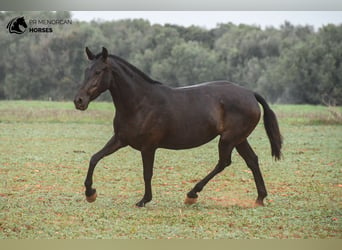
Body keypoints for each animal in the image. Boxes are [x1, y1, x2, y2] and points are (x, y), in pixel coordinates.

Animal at [73, 46, 282, 207]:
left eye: (99, 71)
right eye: (85, 71)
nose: (79, 101)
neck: (140, 103)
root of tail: (250, 93)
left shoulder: (148, 147)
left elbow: (147, 173)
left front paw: (144, 200)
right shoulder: (120, 139)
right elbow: (94, 158)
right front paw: (90, 193)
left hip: (228, 140)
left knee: (224, 162)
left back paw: (192, 194)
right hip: (239, 139)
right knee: (252, 160)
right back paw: (260, 198)